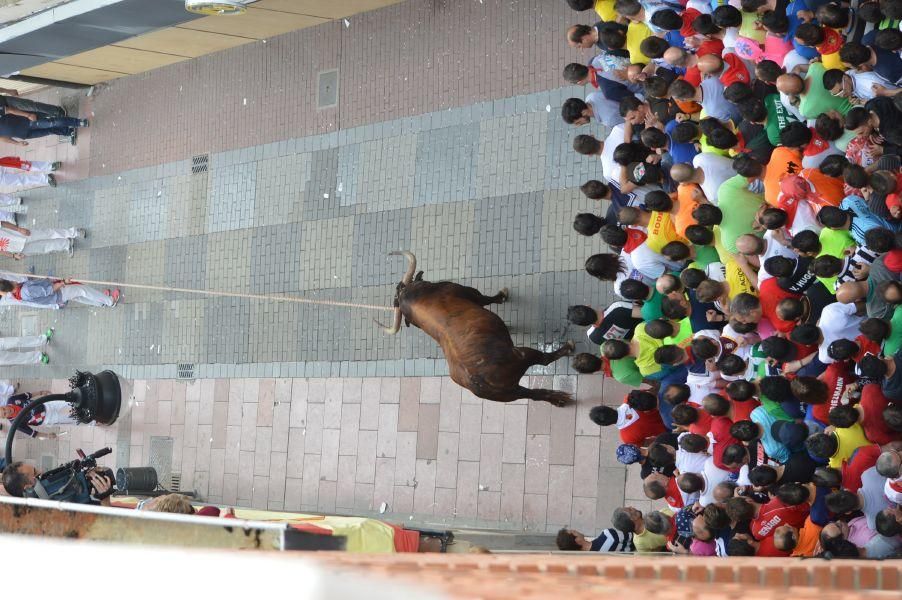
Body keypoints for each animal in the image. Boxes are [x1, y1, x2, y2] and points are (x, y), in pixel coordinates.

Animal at [380, 251, 572, 406]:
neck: (411, 299)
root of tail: (477, 380)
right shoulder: (472, 294)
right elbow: (488, 299)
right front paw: (502, 295)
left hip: (511, 394)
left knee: (534, 394)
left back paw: (559, 399)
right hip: (521, 356)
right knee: (544, 360)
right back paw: (568, 348)